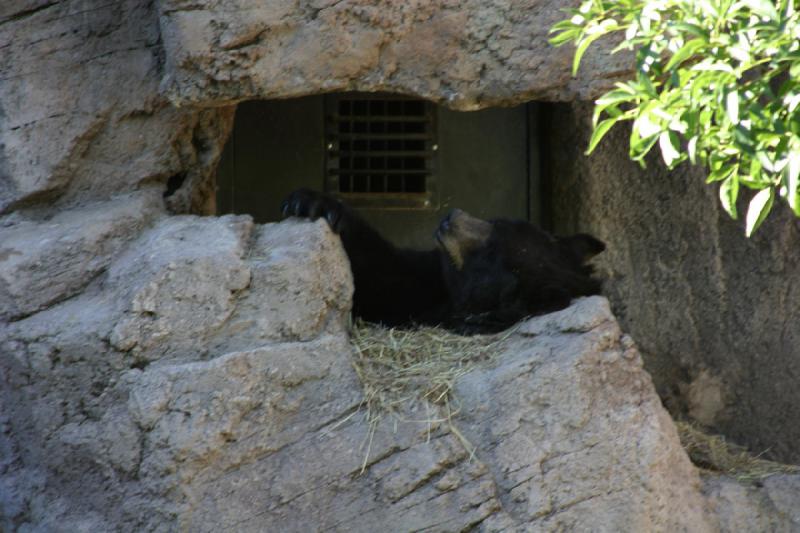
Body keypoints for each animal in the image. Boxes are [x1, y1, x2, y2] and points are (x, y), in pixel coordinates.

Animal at [284, 188, 604, 332]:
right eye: (500, 223)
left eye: (489, 257)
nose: (451, 218)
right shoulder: (431, 276)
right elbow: (385, 271)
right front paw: (312, 203)